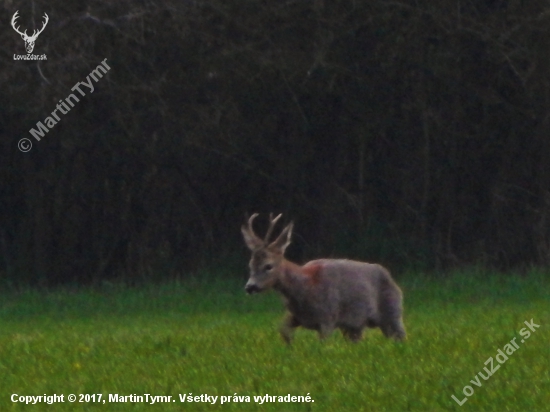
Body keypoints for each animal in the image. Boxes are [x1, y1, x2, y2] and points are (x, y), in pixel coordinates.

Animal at [244, 214, 408, 342]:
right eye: (250, 264)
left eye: (268, 266)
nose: (250, 287)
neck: (304, 288)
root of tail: (393, 280)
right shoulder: (295, 316)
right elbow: (284, 332)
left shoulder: (327, 317)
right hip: (355, 325)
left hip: (393, 311)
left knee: (401, 336)